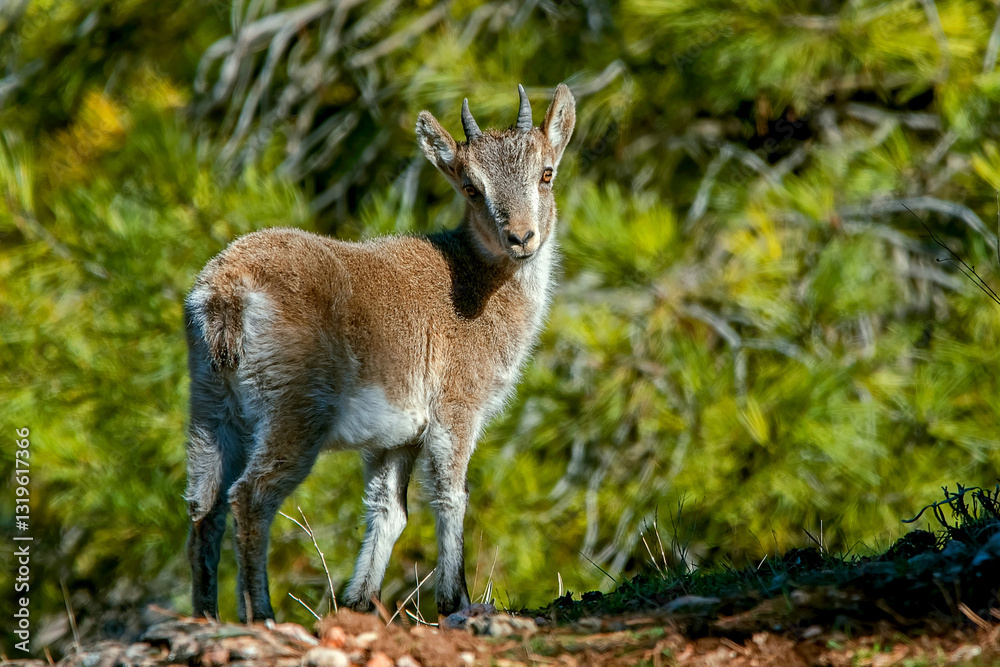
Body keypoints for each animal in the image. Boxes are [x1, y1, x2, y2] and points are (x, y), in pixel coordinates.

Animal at [184, 83, 576, 622]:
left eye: (546, 172)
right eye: (471, 187)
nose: (521, 238)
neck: (476, 281)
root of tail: (224, 294)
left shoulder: (397, 438)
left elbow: (389, 509)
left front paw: (358, 601)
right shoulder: (457, 406)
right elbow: (450, 495)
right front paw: (456, 600)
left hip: (209, 404)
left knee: (205, 505)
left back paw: (207, 615)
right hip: (295, 408)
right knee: (250, 496)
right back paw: (261, 614)